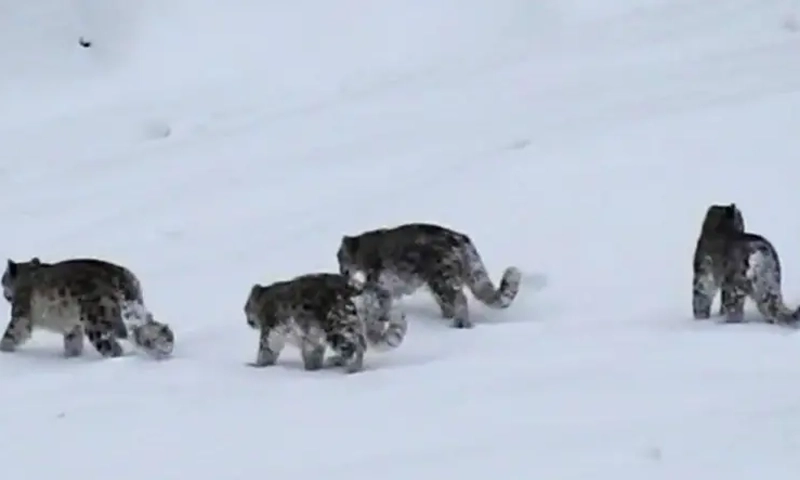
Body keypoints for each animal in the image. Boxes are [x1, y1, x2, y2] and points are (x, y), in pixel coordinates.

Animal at [0, 256, 175, 358]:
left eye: (3, 279)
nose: (3, 292)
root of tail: (120, 276)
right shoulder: (73, 327)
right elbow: (72, 343)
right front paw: (70, 357)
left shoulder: (21, 314)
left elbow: (11, 333)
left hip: (96, 322)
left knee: (112, 346)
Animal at [242, 272, 406, 374]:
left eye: (245, 308)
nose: (248, 322)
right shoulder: (311, 339)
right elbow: (312, 354)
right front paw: (312, 368)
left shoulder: (271, 333)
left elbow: (267, 352)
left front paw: (255, 365)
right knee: (360, 346)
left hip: (338, 328)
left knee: (353, 349)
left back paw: (347, 368)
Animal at [334, 222, 520, 330]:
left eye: (339, 257)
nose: (341, 271)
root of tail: (462, 242)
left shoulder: (379, 281)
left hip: (442, 280)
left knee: (460, 299)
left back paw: (459, 324)